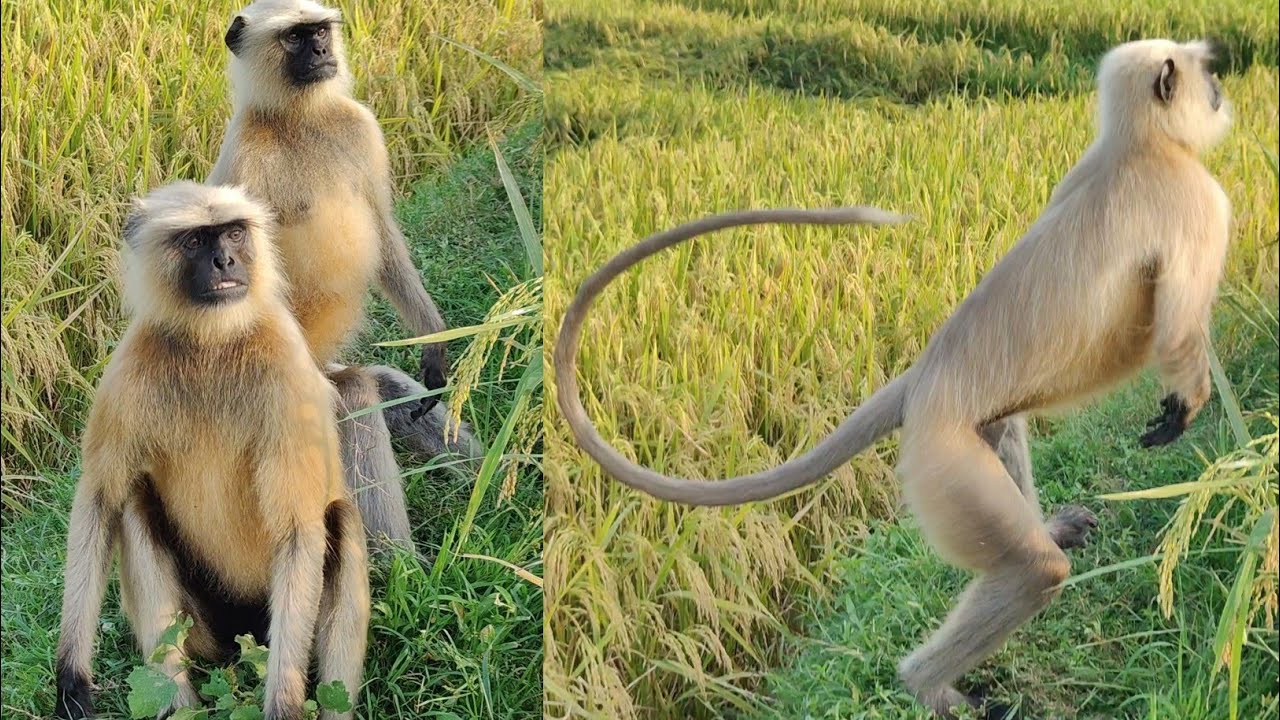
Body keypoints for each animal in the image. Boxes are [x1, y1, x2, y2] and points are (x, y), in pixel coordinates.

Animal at [54, 182, 369, 720]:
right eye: (197, 240)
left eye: (234, 233)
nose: (225, 260)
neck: (211, 344)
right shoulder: (129, 368)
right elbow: (99, 498)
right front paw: (72, 677)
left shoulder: (288, 367)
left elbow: (297, 528)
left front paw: (283, 704)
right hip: (204, 632)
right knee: (133, 505)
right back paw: (178, 702)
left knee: (339, 519)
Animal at [207, 0, 481, 549]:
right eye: (294, 37)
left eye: (319, 31)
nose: (320, 52)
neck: (299, 118)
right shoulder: (246, 158)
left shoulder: (358, 126)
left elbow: (382, 229)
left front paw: (433, 344)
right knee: (352, 401)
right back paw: (402, 564)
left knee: (384, 388)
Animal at [553, 39, 1232, 718]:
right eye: (1207, 74)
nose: (1222, 91)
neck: (1132, 148)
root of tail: (922, 377)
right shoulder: (1192, 198)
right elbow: (1177, 331)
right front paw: (1188, 402)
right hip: (943, 459)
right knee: (1033, 572)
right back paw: (929, 685)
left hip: (965, 431)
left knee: (1006, 433)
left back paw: (1045, 532)